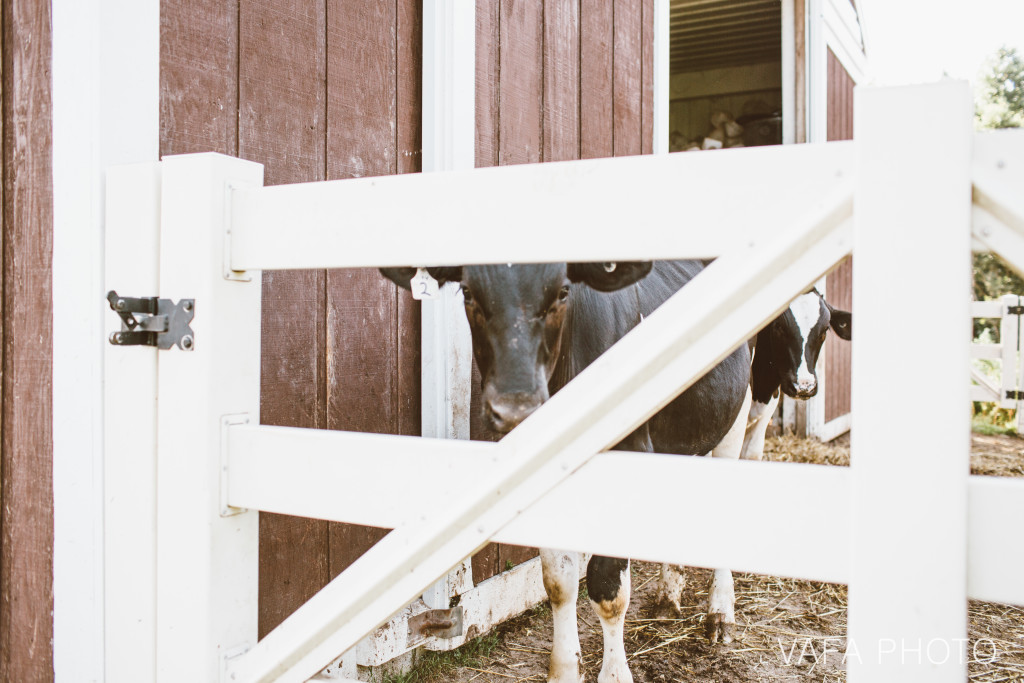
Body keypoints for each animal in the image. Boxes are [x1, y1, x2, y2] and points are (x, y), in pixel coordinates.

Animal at [380, 262, 749, 683]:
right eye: (469, 293)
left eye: (562, 292)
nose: (515, 407)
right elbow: (558, 581)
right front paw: (564, 670)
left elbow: (606, 586)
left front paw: (615, 674)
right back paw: (668, 597)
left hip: (738, 411)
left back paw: (720, 613)